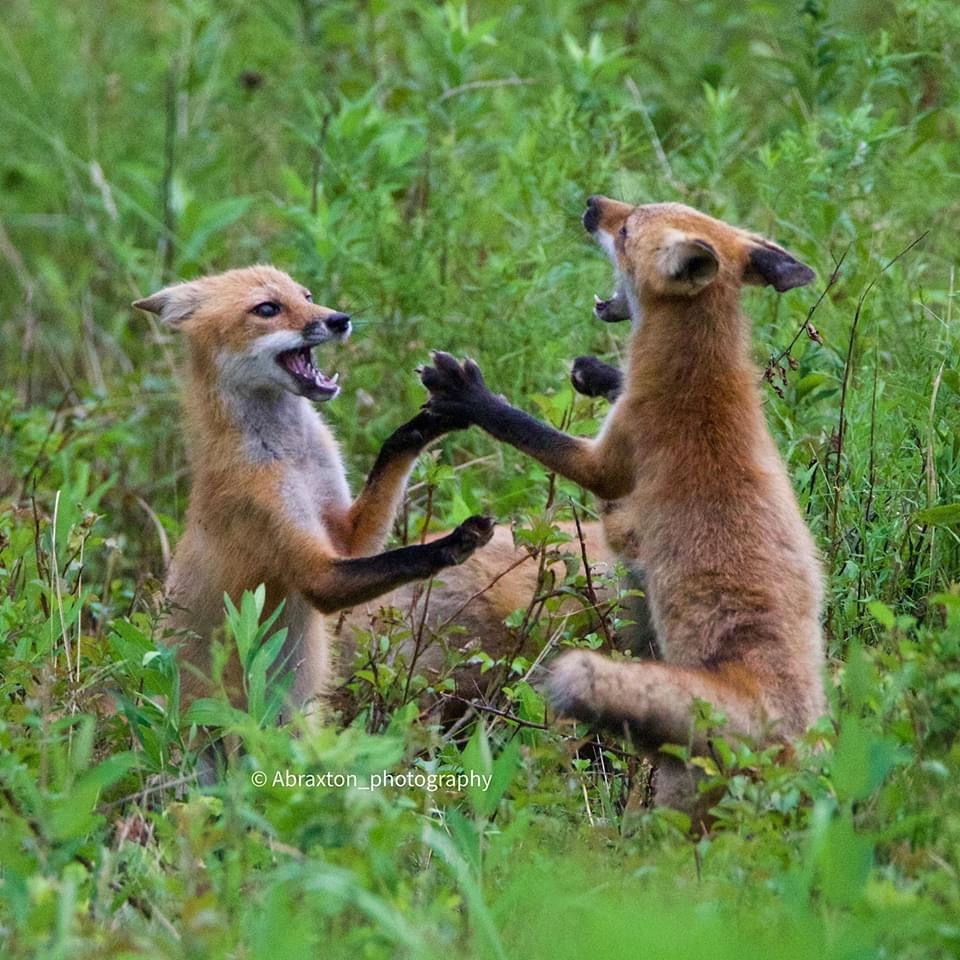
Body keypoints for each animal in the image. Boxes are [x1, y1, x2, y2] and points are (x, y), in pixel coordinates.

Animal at [133, 264, 496, 720]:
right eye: (267, 309)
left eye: (306, 295)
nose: (340, 319)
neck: (294, 459)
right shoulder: (310, 564)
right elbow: (404, 556)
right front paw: (455, 540)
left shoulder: (346, 534)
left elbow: (392, 453)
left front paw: (441, 412)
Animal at [420, 197, 824, 808]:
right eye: (635, 209)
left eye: (628, 228)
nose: (592, 204)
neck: (703, 380)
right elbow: (610, 387)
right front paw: (597, 371)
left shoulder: (605, 464)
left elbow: (525, 428)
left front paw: (468, 394)